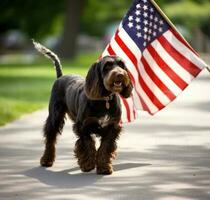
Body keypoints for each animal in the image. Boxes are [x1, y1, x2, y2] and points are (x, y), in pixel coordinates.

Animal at [33, 41, 132, 175]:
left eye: (122, 65)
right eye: (107, 66)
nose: (120, 74)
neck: (104, 99)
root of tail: (60, 77)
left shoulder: (112, 127)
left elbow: (105, 147)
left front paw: (104, 167)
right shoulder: (82, 126)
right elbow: (87, 144)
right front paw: (87, 165)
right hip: (55, 117)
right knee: (50, 138)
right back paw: (46, 160)